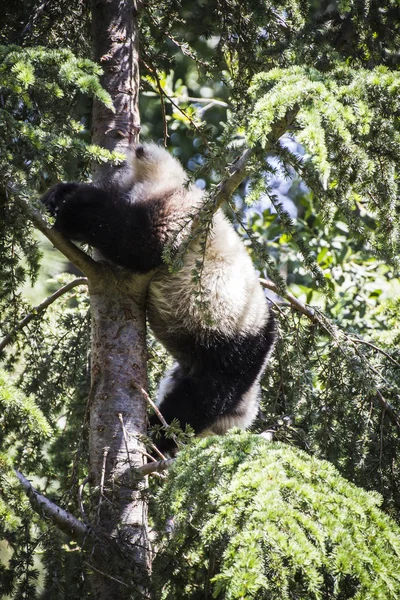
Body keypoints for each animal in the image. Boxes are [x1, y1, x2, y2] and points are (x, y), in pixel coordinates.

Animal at [42, 142, 276, 450]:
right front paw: (61, 196)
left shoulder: (177, 216)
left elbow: (138, 242)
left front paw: (70, 209)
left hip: (228, 343)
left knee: (201, 397)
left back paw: (157, 434)